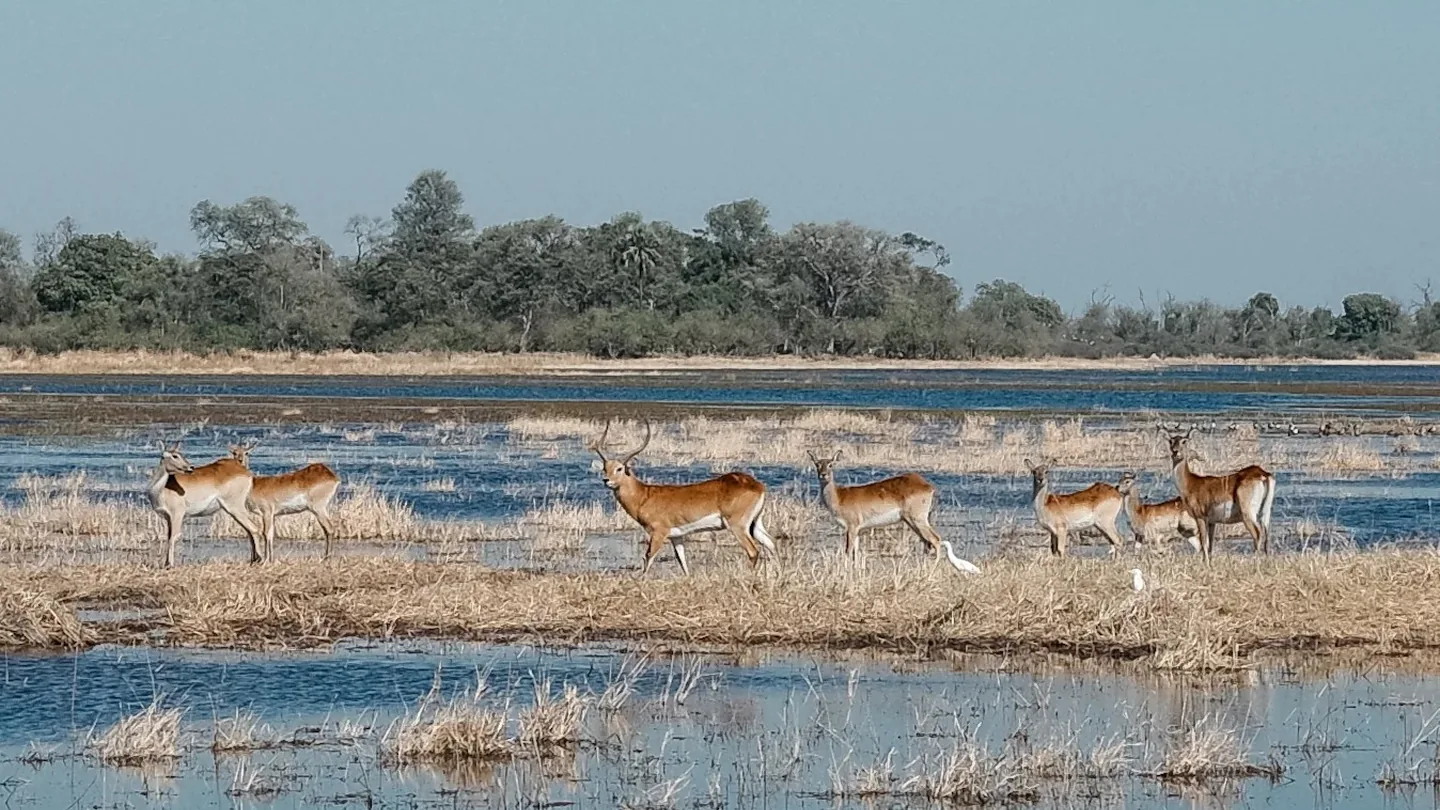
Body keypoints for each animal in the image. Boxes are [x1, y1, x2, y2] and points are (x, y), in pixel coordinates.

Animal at [590, 420, 775, 575]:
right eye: (605, 468)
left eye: (620, 468)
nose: (606, 480)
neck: (644, 496)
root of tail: (756, 485)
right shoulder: (677, 536)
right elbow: (682, 562)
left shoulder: (659, 533)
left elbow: (648, 558)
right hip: (755, 525)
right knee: (771, 545)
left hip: (738, 526)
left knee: (753, 551)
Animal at [807, 451, 943, 559]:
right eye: (817, 464)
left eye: (831, 464)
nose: (823, 474)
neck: (839, 497)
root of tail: (926, 485)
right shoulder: (857, 530)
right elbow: (855, 553)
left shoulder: (851, 527)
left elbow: (848, 551)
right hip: (910, 521)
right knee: (927, 542)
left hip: (917, 519)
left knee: (935, 539)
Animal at [1166, 430, 1275, 558]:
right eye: (1171, 441)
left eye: (1184, 441)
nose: (1175, 452)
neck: (1190, 483)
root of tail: (1262, 474)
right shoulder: (1212, 522)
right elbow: (1210, 546)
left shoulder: (1200, 517)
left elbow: (1204, 543)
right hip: (1266, 513)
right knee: (1267, 537)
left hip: (1248, 515)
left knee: (1257, 534)